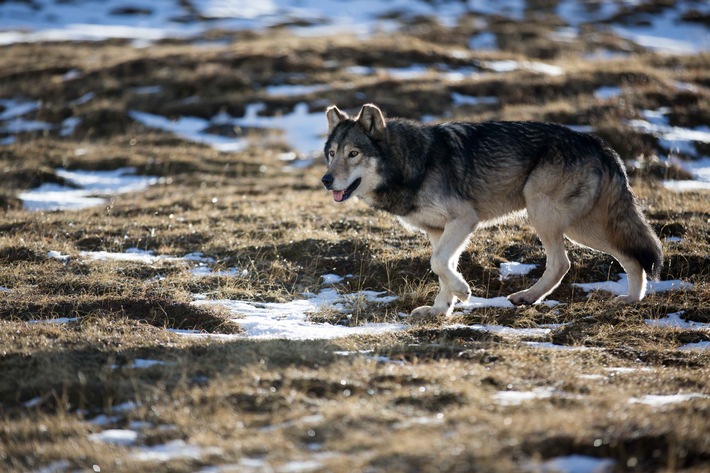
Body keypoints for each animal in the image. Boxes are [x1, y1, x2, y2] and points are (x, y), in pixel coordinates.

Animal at [322, 103, 668, 318]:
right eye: (331, 153)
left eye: (353, 154)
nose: (326, 180)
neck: (411, 163)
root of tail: (601, 145)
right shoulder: (438, 231)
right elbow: (442, 268)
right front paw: (440, 310)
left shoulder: (464, 220)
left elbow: (438, 264)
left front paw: (463, 292)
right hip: (579, 226)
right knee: (628, 256)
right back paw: (631, 299)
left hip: (549, 216)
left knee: (565, 263)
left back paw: (530, 297)